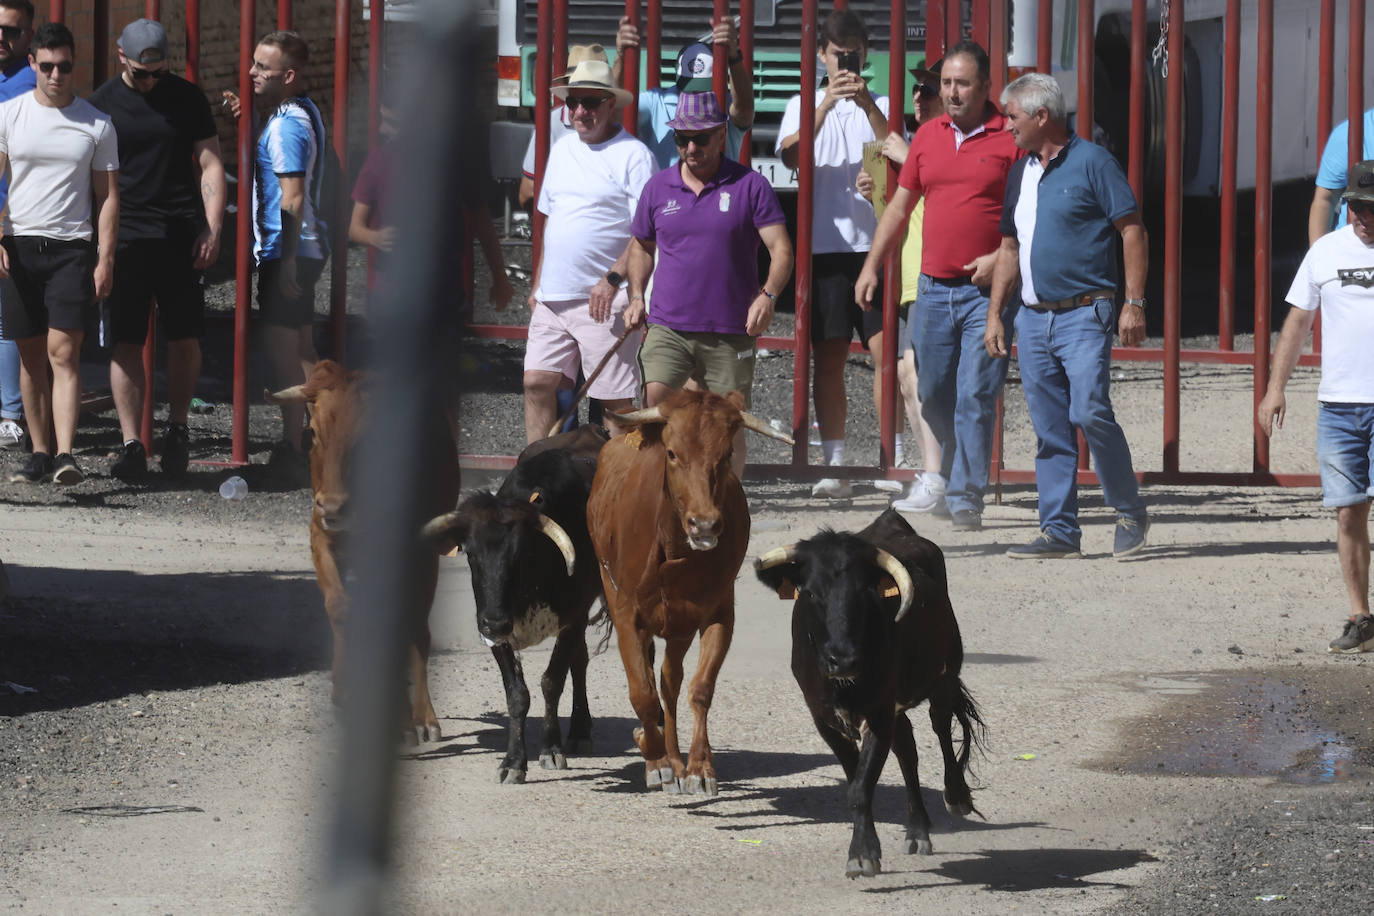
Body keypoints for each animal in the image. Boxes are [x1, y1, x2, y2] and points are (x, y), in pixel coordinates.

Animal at [266, 359, 461, 747]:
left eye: (368, 439)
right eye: (313, 431)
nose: (333, 506)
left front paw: (405, 722)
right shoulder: (320, 536)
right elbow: (340, 607)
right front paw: (343, 692)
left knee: (417, 627)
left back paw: (423, 717)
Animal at [423, 425, 607, 785]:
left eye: (522, 554)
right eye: (470, 553)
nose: (494, 621)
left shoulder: (573, 617)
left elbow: (552, 681)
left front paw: (551, 749)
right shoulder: (495, 633)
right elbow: (517, 694)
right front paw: (514, 761)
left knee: (579, 663)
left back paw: (579, 731)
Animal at [582, 387, 796, 796]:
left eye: (726, 455)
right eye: (671, 453)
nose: (705, 524)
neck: (675, 551)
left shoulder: (718, 613)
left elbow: (699, 688)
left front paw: (699, 767)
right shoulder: (627, 614)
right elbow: (642, 693)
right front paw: (652, 756)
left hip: (679, 627)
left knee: (670, 682)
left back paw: (678, 759)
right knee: (655, 685)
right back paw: (662, 759)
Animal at [752, 513, 989, 878]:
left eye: (863, 593)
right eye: (810, 593)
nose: (844, 659)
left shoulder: (878, 712)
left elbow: (862, 786)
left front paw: (862, 854)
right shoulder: (824, 717)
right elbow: (856, 782)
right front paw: (866, 847)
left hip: (945, 672)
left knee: (941, 725)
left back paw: (956, 796)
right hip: (899, 705)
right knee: (907, 749)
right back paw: (917, 831)